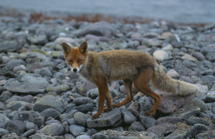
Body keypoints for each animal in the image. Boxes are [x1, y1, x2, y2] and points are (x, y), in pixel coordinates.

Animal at [61, 41, 199, 119]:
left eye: (79, 60)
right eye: (70, 61)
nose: (74, 70)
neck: (90, 64)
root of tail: (153, 59)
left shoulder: (100, 84)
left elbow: (100, 102)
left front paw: (98, 114)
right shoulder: (104, 83)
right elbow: (108, 97)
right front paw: (109, 108)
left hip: (139, 85)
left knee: (157, 97)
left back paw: (151, 113)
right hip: (127, 81)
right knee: (130, 97)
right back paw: (117, 105)